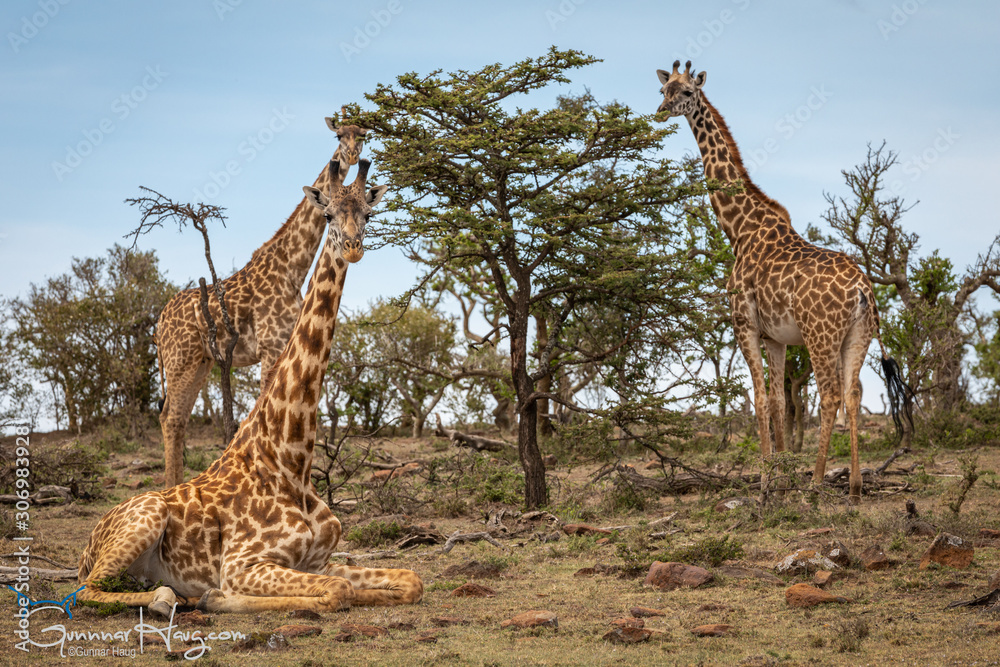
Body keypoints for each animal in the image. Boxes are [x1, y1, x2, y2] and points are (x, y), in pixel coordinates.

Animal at [77, 158, 423, 615]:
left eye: (368, 214)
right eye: (328, 214)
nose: (352, 247)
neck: (291, 460)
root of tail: (86, 545)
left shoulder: (318, 560)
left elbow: (409, 580)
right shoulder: (242, 563)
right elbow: (336, 591)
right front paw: (218, 597)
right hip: (146, 510)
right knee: (85, 590)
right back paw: (166, 597)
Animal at [156, 115, 367, 488]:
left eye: (364, 136)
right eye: (339, 135)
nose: (352, 155)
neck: (293, 266)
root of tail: (157, 324)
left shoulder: (281, 343)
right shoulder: (270, 345)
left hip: (201, 362)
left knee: (176, 417)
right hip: (180, 359)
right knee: (170, 417)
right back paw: (172, 488)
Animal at [656, 61, 911, 500]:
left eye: (687, 91)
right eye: (663, 89)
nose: (660, 111)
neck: (739, 228)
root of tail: (863, 291)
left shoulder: (744, 324)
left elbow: (759, 399)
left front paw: (764, 479)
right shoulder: (775, 336)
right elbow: (777, 401)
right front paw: (780, 475)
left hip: (820, 335)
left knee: (829, 395)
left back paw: (817, 480)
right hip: (858, 336)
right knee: (853, 393)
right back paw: (855, 485)